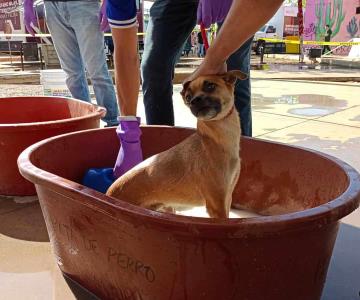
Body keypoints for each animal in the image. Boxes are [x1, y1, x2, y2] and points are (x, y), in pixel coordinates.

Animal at [106, 70, 248, 218]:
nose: (194, 101)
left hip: (167, 208)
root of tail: (108, 194)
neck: (214, 139)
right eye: (188, 97)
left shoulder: (227, 197)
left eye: (210, 86)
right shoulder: (216, 204)